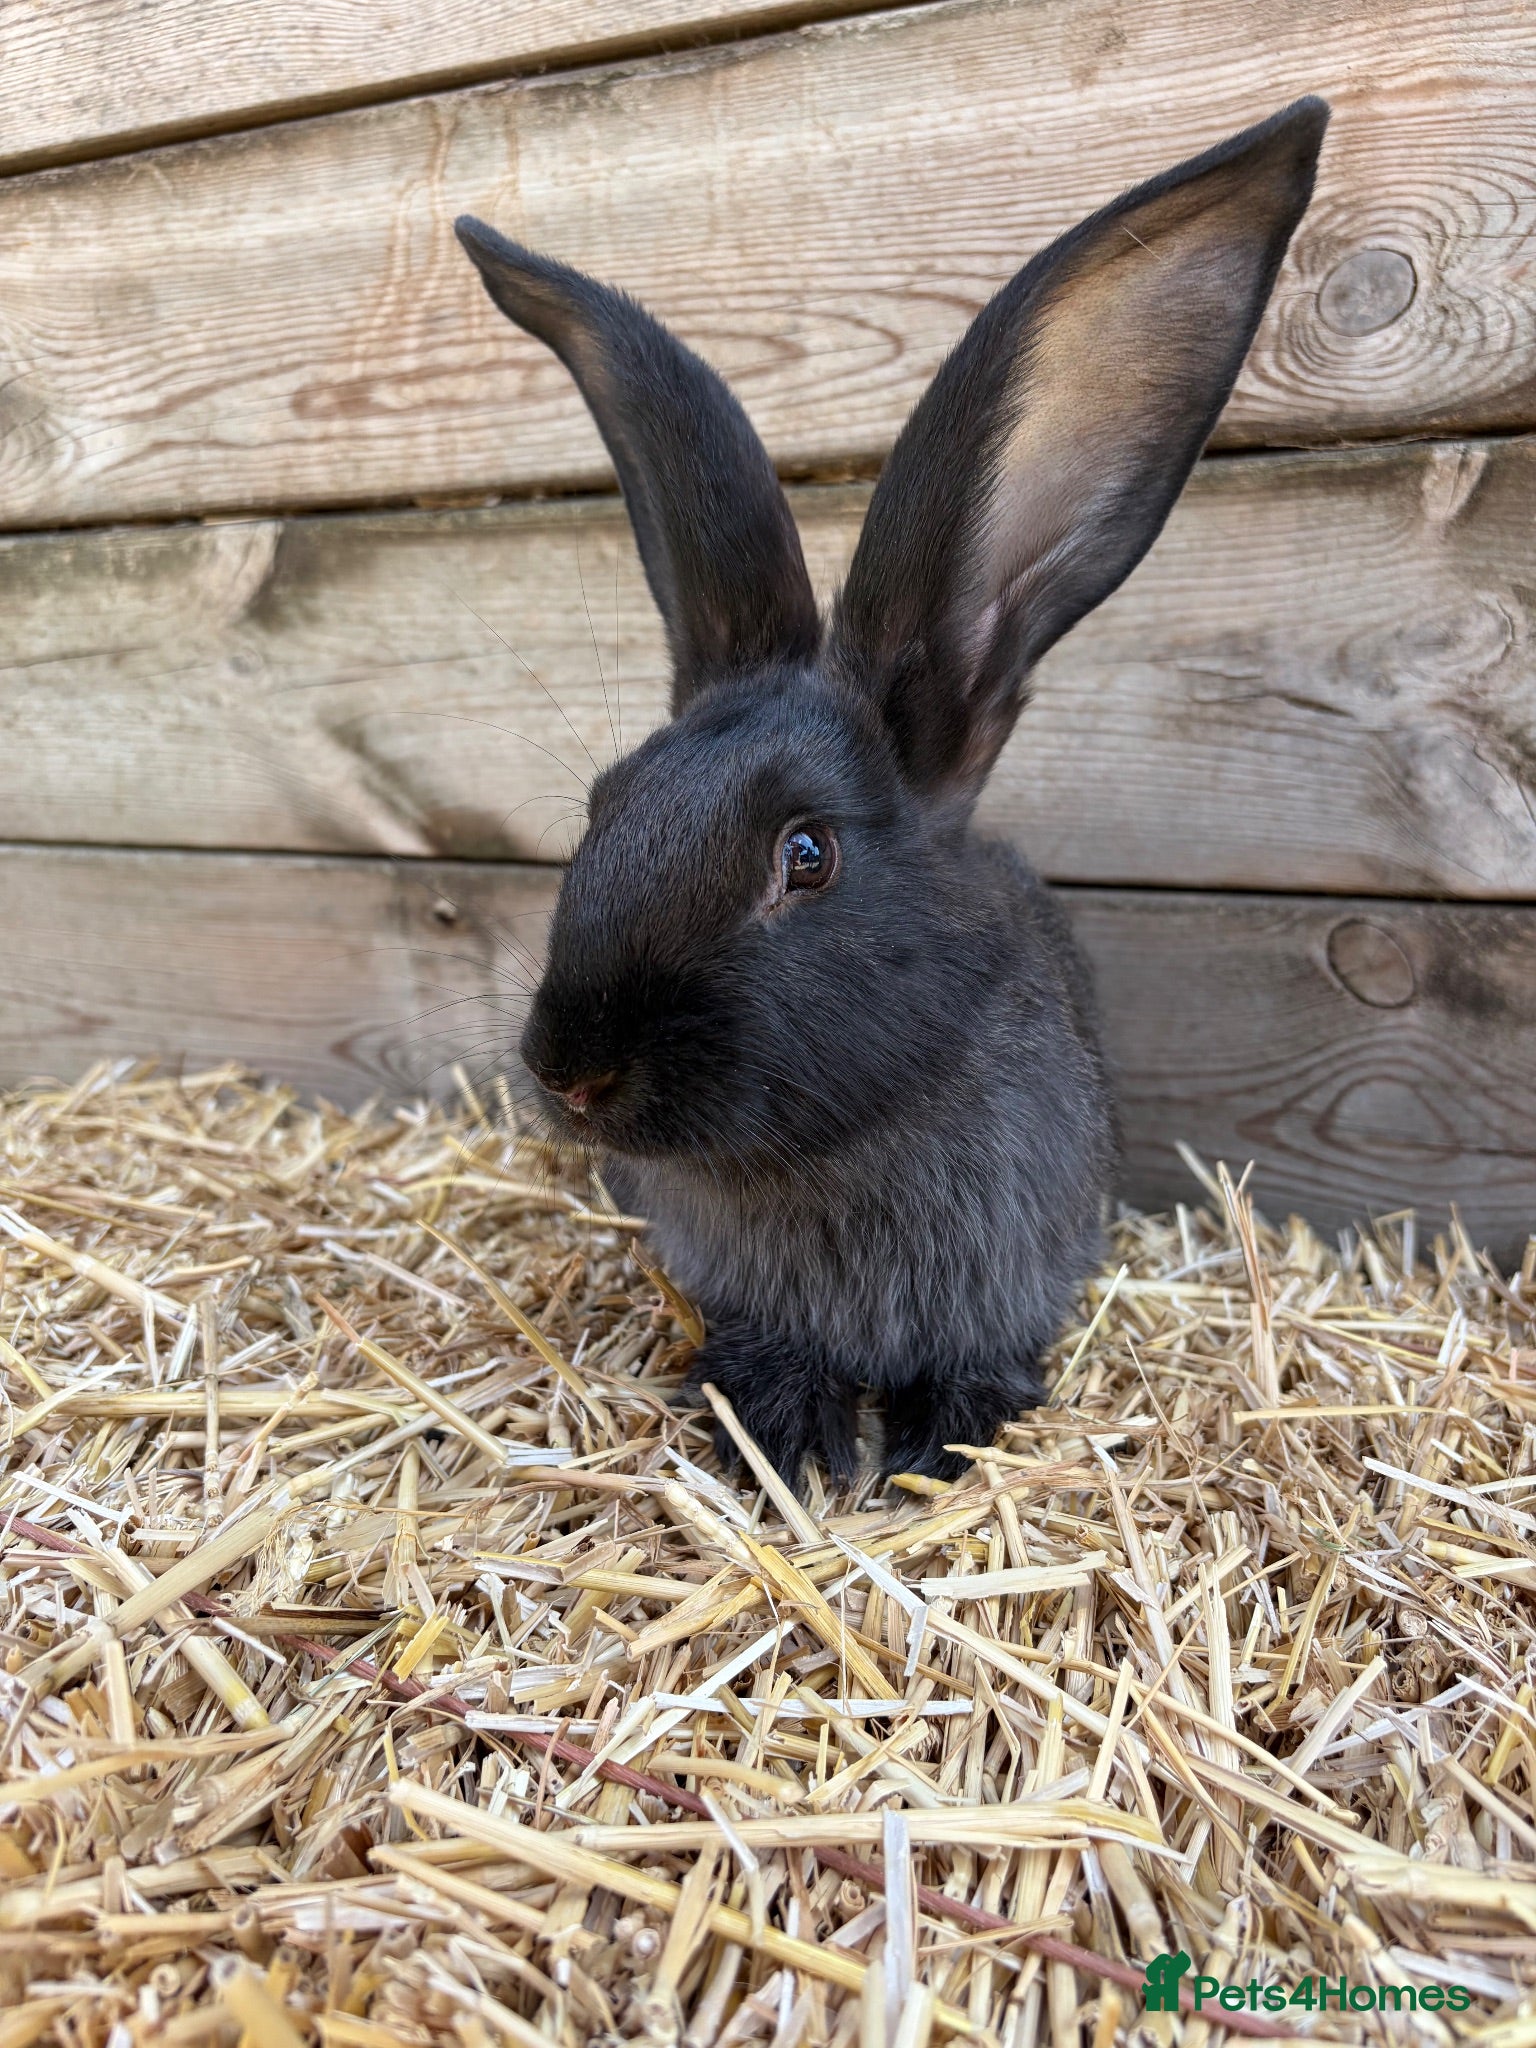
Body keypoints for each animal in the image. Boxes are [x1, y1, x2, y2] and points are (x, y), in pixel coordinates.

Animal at [455, 96, 1328, 1491]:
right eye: (602, 806)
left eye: (808, 853)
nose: (573, 1071)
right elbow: (764, 1356)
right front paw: (798, 1443)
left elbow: (978, 1374)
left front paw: (931, 1447)